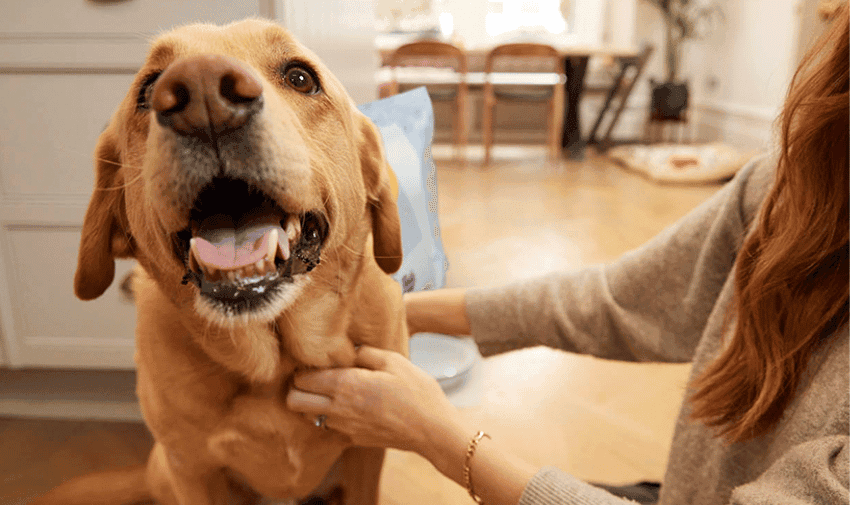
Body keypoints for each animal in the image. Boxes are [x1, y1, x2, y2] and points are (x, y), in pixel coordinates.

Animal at [31, 16, 406, 504]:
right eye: (147, 89)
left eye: (300, 78)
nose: (203, 90)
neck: (275, 366)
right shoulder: (192, 469)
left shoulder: (366, 450)